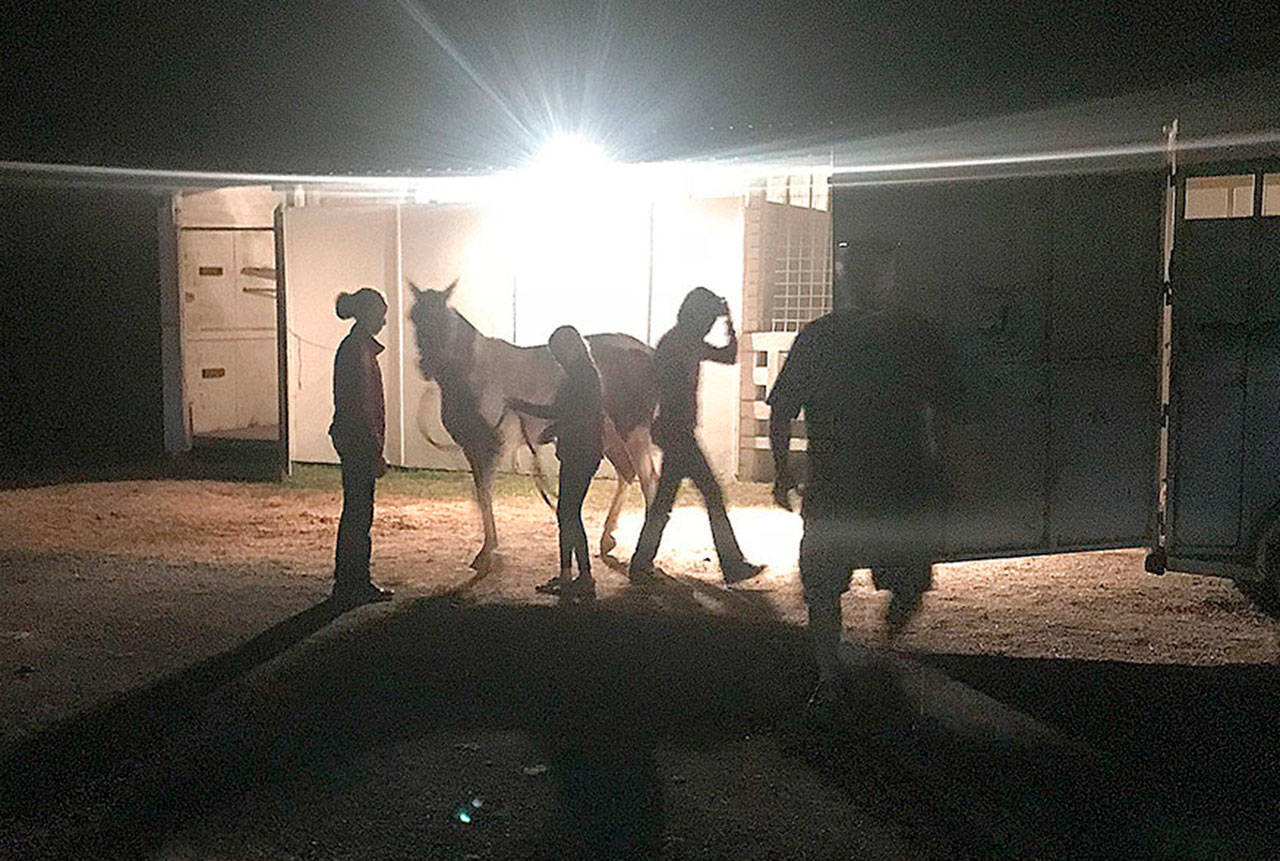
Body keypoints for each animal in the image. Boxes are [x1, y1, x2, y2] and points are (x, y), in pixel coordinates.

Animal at [409, 278, 660, 570]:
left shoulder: (492, 446)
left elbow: (485, 492)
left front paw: (487, 551)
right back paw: (607, 538)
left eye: (444, 320)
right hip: (609, 436)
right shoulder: (471, 447)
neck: (474, 371)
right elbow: (480, 495)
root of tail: (648, 353)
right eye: (413, 317)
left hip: (633, 432)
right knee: (626, 473)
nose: (426, 366)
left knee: (648, 481)